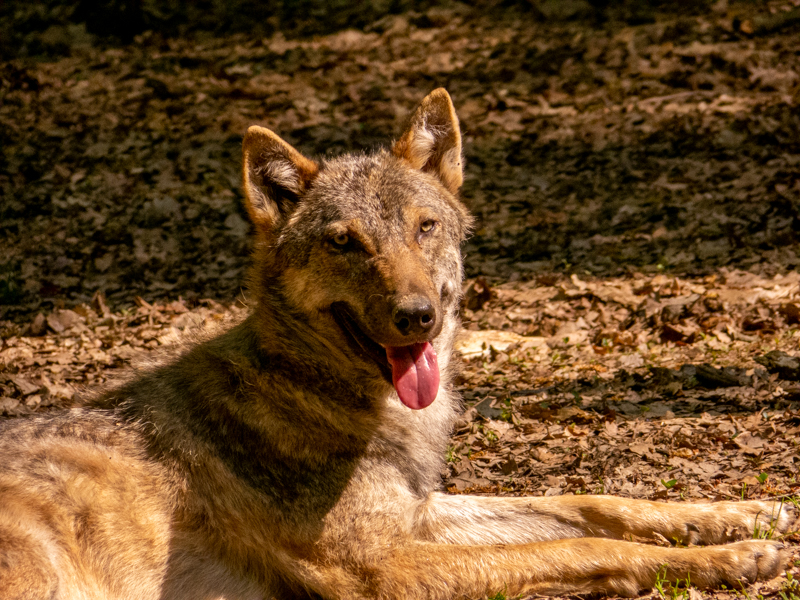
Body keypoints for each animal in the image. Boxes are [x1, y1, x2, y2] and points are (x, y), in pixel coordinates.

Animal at [0, 89, 793, 600]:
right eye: (345, 243)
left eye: (424, 227)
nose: (418, 317)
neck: (317, 391)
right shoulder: (377, 570)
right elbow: (579, 546)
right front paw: (725, 559)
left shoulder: (417, 515)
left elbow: (590, 503)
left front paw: (739, 522)